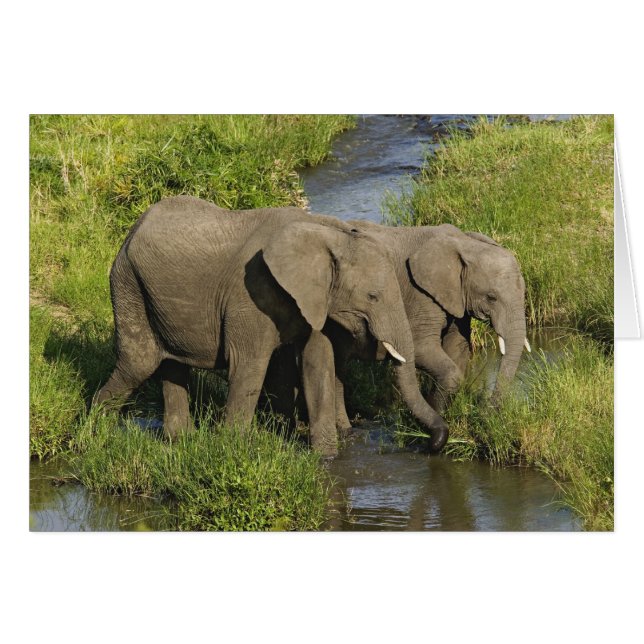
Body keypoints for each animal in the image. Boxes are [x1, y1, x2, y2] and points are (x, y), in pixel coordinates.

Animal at [94, 196, 449, 457]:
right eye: (373, 296)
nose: (432, 443)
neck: (328, 234)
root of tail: (134, 226)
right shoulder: (250, 293)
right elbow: (249, 366)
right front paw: (233, 452)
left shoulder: (314, 299)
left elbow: (318, 363)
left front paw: (327, 459)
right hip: (127, 282)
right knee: (139, 362)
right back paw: (95, 433)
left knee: (171, 364)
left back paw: (179, 441)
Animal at [264, 220, 530, 434]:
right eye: (491, 297)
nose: (487, 413)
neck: (463, 242)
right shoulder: (422, 294)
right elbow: (423, 349)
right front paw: (434, 421)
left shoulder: (455, 298)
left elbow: (459, 347)